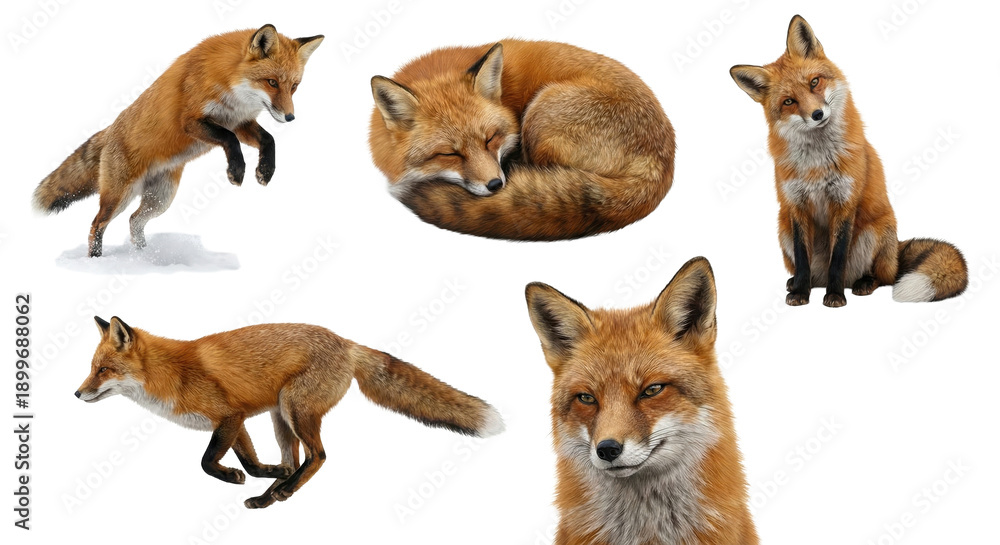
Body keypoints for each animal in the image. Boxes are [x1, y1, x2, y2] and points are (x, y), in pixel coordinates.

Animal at [34, 25, 323, 257]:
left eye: (294, 86)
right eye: (272, 82)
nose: (290, 117)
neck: (228, 83)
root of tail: (109, 131)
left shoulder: (240, 123)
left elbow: (269, 139)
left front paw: (265, 171)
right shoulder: (192, 121)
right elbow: (230, 140)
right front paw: (236, 171)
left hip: (160, 199)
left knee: (134, 221)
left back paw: (143, 256)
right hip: (119, 195)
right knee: (97, 224)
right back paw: (96, 259)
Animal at [75, 316, 503, 509]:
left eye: (103, 370)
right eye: (92, 368)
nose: (77, 393)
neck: (171, 374)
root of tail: (346, 342)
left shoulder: (227, 416)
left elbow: (207, 462)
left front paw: (231, 477)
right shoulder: (237, 420)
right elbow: (251, 461)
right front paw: (263, 474)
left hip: (295, 409)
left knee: (319, 456)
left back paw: (284, 490)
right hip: (280, 418)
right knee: (295, 458)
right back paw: (271, 493)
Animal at [730, 15, 967, 307]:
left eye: (814, 82)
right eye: (789, 102)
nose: (817, 114)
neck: (817, 164)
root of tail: (897, 251)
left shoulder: (844, 202)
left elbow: (838, 259)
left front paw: (834, 296)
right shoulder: (796, 206)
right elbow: (803, 259)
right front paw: (801, 293)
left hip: (874, 233)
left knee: (882, 277)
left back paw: (862, 283)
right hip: (782, 227)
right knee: (810, 271)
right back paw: (797, 283)